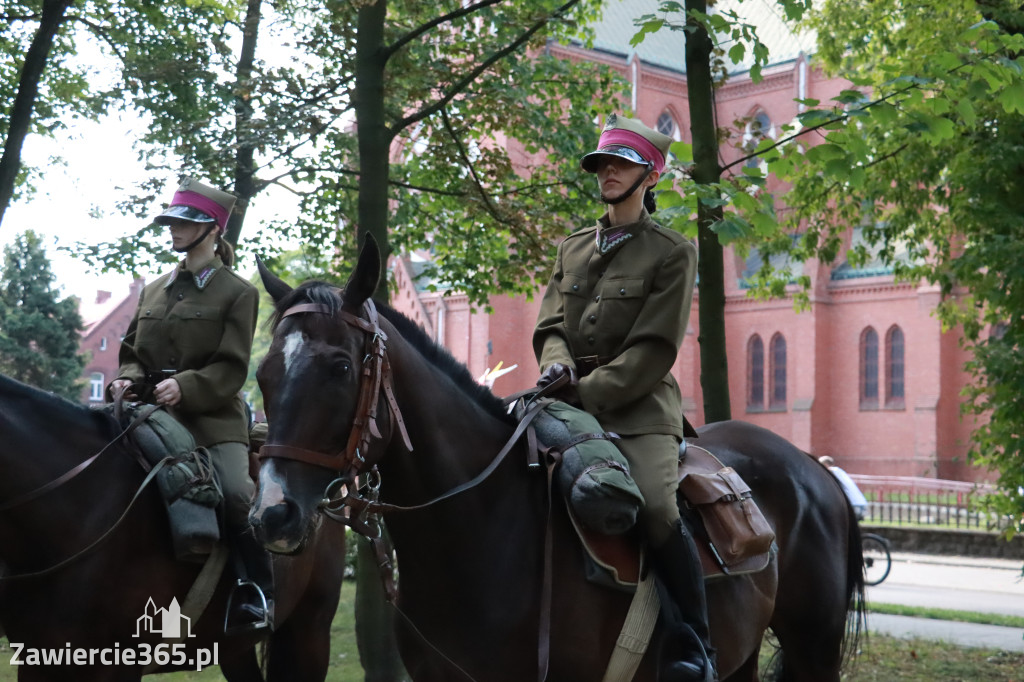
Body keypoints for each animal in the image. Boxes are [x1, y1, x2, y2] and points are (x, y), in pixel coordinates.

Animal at [247, 236, 864, 675]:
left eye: (340, 367)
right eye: (264, 373)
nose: (271, 513)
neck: (479, 528)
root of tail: (816, 470)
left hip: (813, 649)